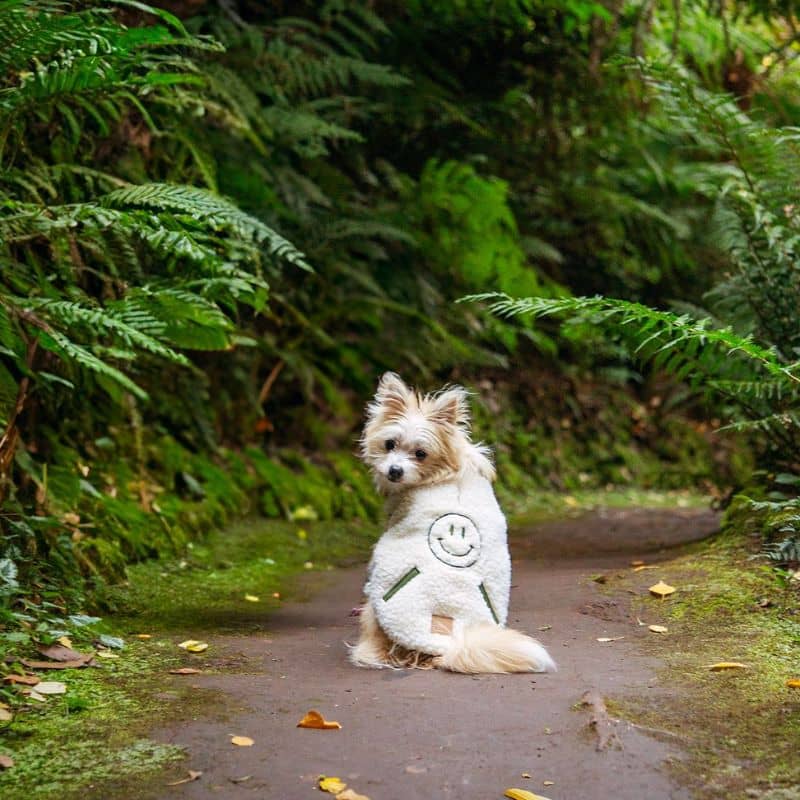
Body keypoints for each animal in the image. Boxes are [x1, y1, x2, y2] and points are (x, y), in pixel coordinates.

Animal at [352, 376, 556, 676]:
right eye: (390, 444)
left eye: (421, 454)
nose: (394, 471)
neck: (443, 472)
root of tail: (443, 644)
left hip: (374, 606)